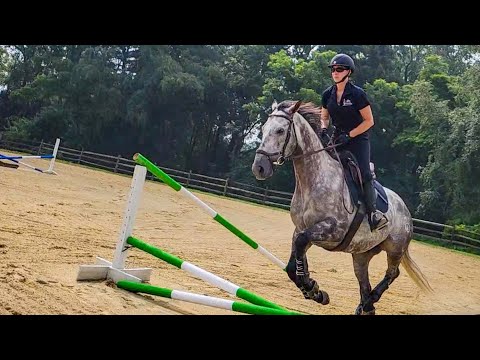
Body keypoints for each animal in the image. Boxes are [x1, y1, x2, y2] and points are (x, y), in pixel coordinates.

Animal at [251, 100, 432, 314]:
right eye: (263, 128)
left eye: (280, 130)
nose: (259, 168)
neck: (313, 180)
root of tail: (405, 208)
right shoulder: (302, 229)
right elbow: (293, 263)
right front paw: (315, 291)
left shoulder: (332, 230)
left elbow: (301, 246)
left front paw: (310, 287)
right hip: (361, 255)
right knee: (364, 283)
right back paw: (365, 305)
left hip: (395, 247)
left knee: (392, 273)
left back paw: (370, 300)